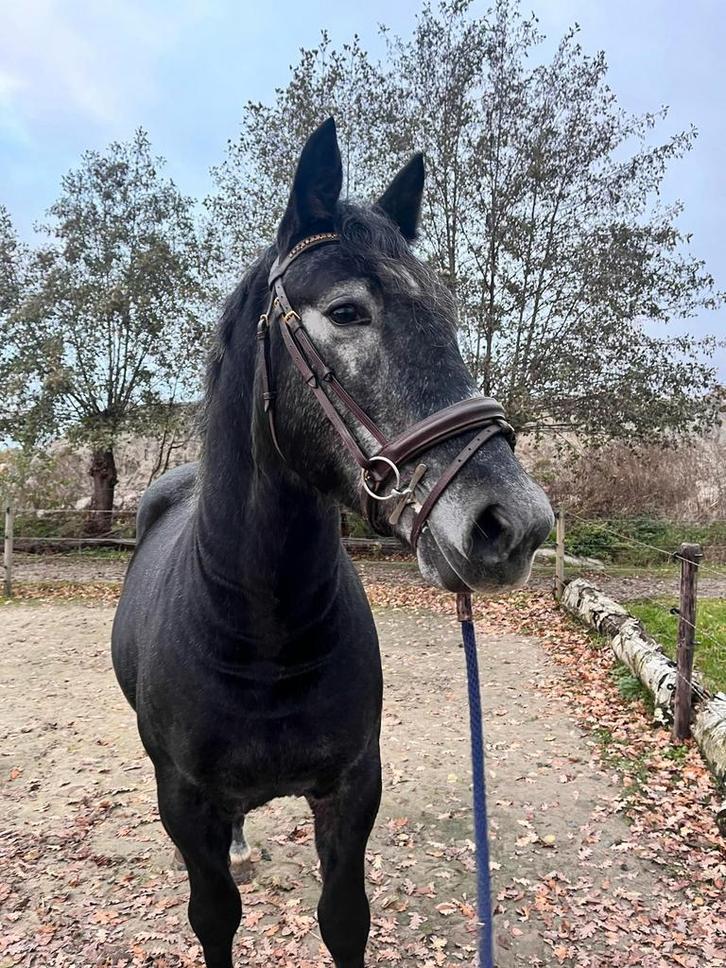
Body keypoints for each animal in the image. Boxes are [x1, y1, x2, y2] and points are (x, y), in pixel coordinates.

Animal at [111, 117, 554, 968]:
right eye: (348, 313)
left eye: (446, 313)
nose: (515, 523)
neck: (261, 633)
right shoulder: (181, 802)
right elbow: (214, 918)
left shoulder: (353, 789)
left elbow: (344, 919)